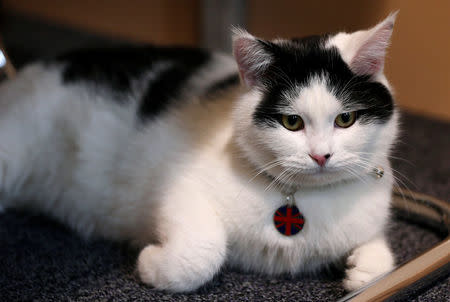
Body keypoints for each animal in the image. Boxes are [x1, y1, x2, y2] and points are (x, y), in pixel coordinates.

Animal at [0, 13, 400, 292]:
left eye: (345, 119)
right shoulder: (177, 185)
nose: (321, 156)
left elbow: (381, 263)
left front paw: (364, 268)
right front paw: (150, 263)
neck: (301, 200)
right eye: (292, 122)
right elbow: (204, 252)